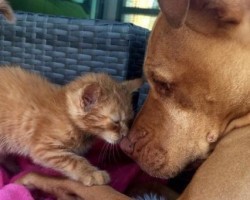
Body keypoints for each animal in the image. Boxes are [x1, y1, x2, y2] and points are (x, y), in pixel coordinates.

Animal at [0, 67, 143, 186]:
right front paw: (92, 173)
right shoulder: (44, 148)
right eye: (116, 121)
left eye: (129, 119)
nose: (125, 134)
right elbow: (73, 160)